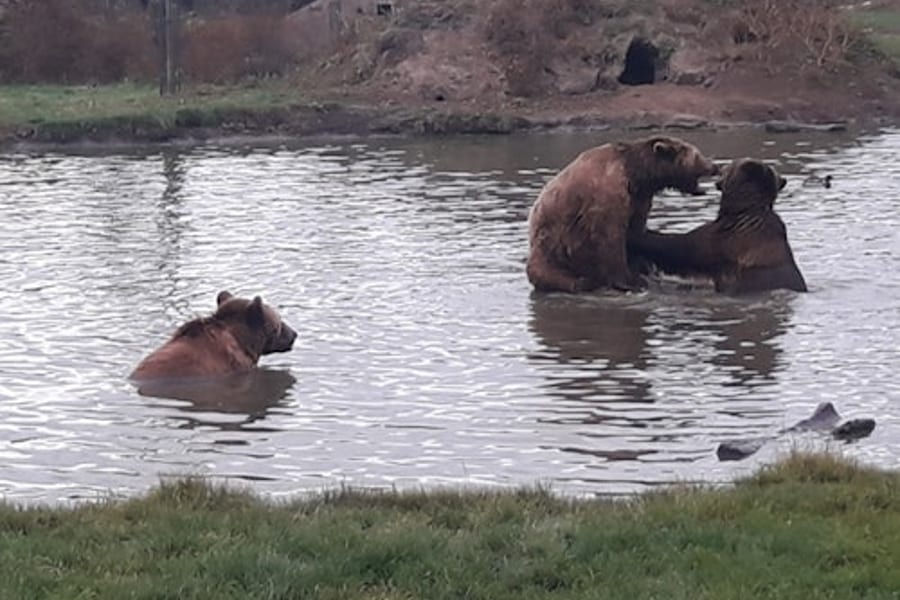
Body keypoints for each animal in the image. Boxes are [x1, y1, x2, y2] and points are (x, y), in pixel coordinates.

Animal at [526, 135, 719, 293]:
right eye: (698, 155)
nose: (714, 166)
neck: (637, 175)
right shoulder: (607, 194)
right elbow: (610, 237)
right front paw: (630, 281)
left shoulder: (639, 198)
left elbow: (635, 232)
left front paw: (642, 269)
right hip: (550, 247)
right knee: (550, 272)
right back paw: (583, 282)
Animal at [628, 158, 807, 295]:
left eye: (731, 166)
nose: (719, 167)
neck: (745, 210)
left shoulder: (718, 243)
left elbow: (678, 247)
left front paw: (637, 234)